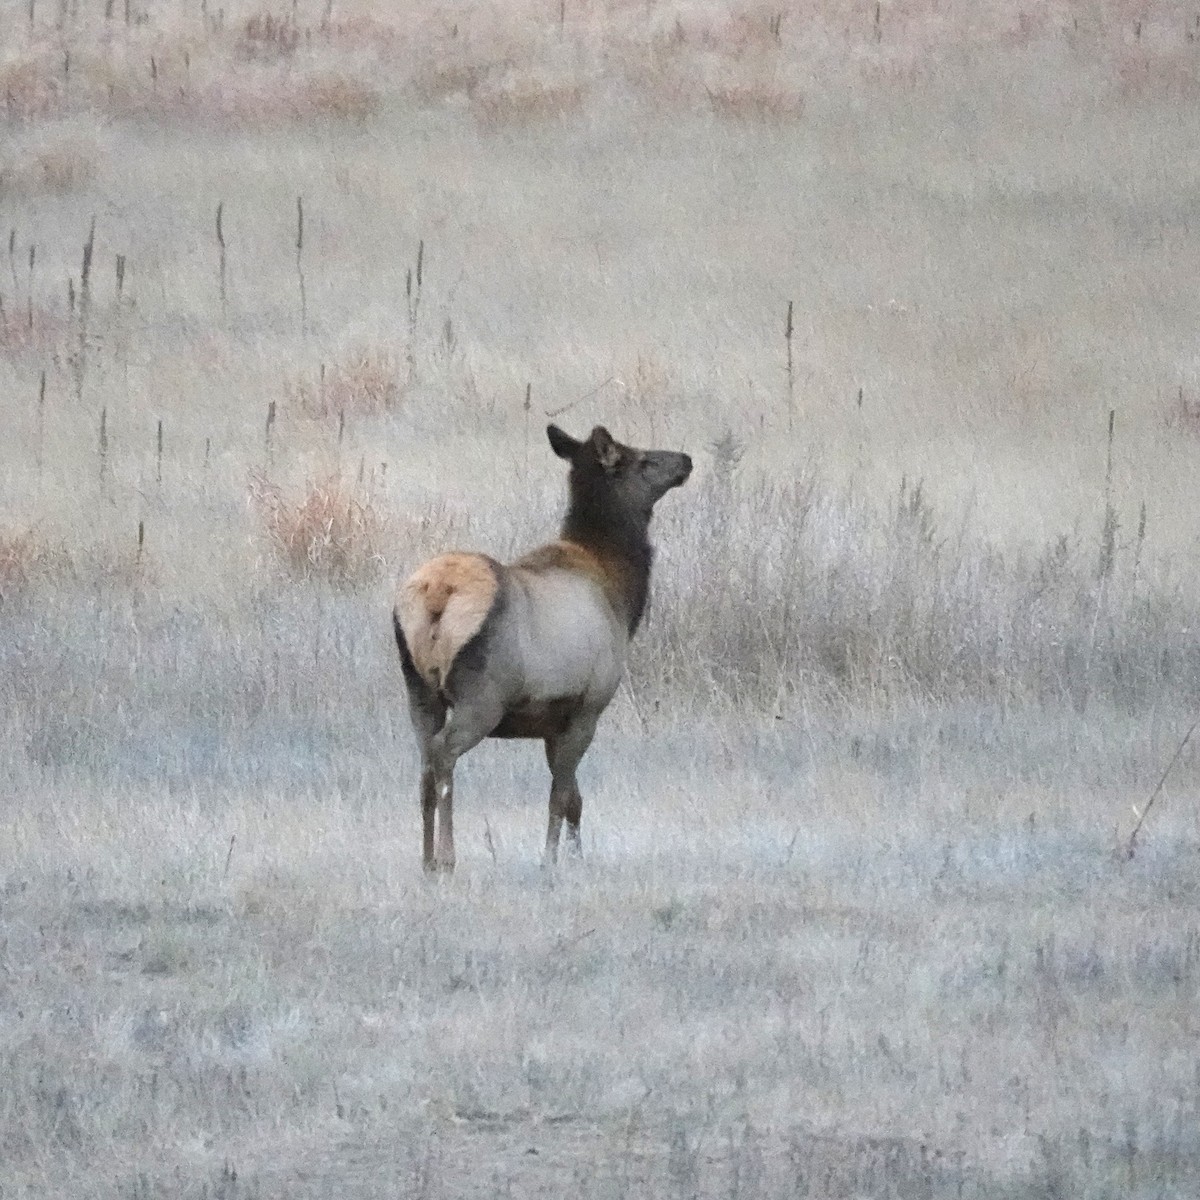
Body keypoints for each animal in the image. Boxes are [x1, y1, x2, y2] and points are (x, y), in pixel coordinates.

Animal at [392, 424, 692, 872]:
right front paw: (551, 860)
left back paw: (426, 861)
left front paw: (576, 856)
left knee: (426, 761)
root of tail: (438, 596)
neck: (622, 594)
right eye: (643, 459)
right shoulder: (588, 706)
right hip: (482, 697)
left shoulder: (554, 719)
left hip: (419, 691)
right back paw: (447, 858)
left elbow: (576, 800)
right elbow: (561, 795)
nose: (686, 460)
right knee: (444, 754)